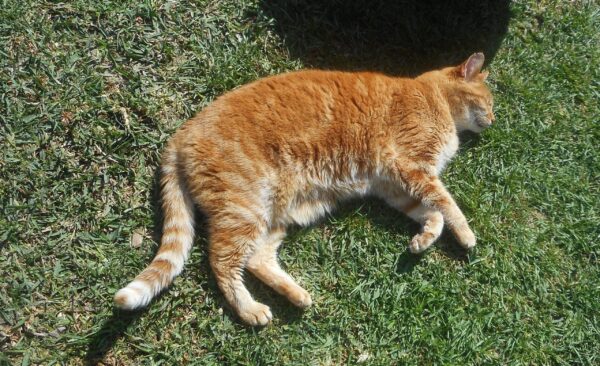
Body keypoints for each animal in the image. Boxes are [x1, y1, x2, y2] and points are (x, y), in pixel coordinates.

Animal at [115, 52, 494, 326]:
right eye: (488, 102)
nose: (493, 120)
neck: (436, 100)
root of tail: (181, 135)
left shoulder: (394, 186)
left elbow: (432, 212)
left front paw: (424, 238)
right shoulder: (411, 165)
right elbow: (447, 204)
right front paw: (466, 235)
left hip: (275, 213)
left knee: (257, 258)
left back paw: (296, 295)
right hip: (246, 206)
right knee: (222, 261)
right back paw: (250, 309)